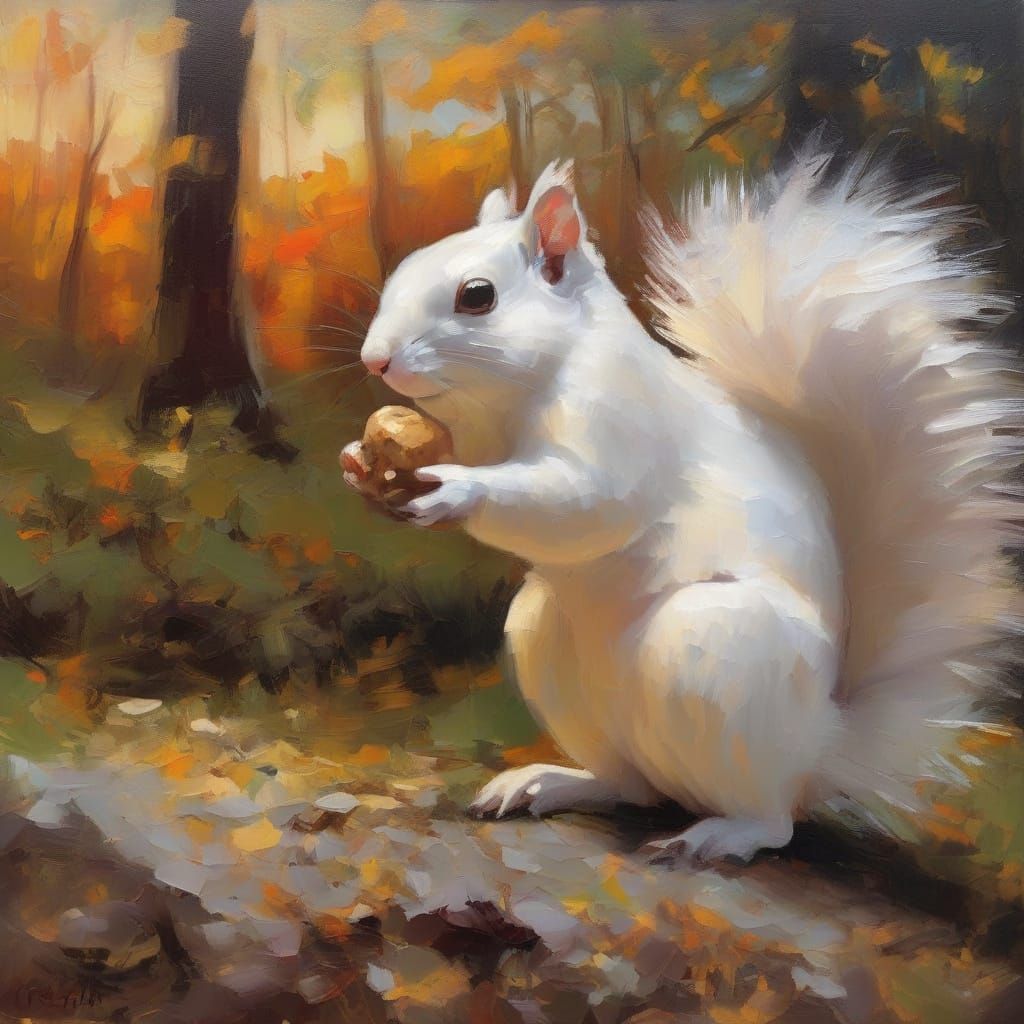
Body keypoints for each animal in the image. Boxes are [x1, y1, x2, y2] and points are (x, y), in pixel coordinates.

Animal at [356, 147, 1023, 863]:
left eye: (476, 296)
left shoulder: (618, 424)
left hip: (717, 655)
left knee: (772, 820)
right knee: (631, 785)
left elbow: (578, 501)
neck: (516, 393)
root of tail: (821, 748)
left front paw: (456, 490)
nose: (374, 360)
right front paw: (362, 465)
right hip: (547, 644)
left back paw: (719, 834)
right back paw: (551, 783)